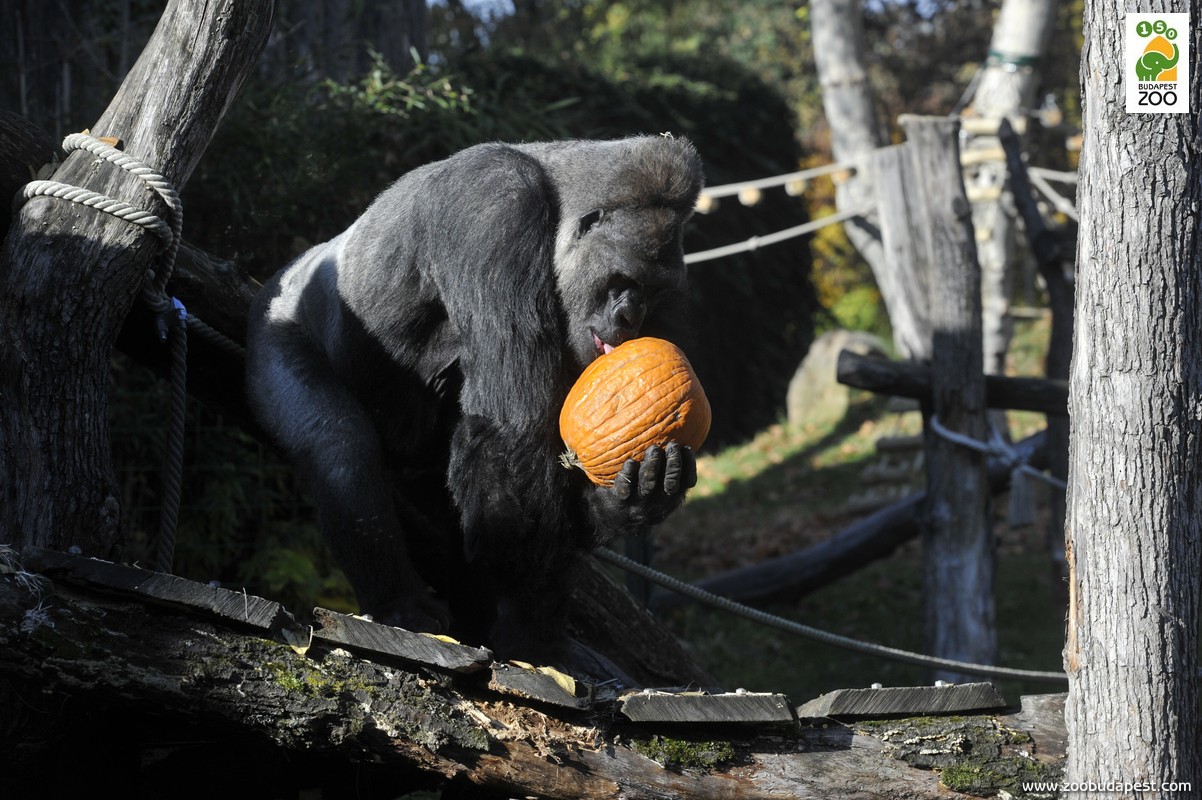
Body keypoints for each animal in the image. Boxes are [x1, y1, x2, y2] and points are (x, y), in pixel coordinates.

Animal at [248, 135, 706, 667]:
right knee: (338, 440)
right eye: (625, 281)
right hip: (274, 322)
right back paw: (401, 605)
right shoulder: (495, 207)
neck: (554, 192)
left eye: (652, 291)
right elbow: (511, 428)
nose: (631, 318)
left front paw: (624, 506)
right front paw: (529, 622)